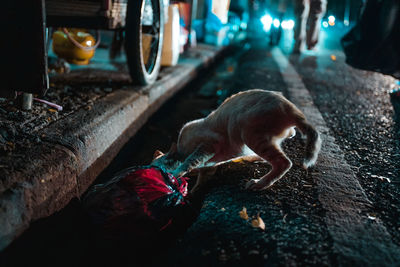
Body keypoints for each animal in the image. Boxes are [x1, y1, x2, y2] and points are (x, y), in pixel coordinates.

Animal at [170, 89, 320, 191]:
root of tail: (292, 110)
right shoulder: (208, 165)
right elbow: (201, 176)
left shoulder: (209, 144)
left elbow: (192, 160)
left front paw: (177, 173)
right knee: (286, 142)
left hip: (249, 132)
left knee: (284, 163)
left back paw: (259, 183)